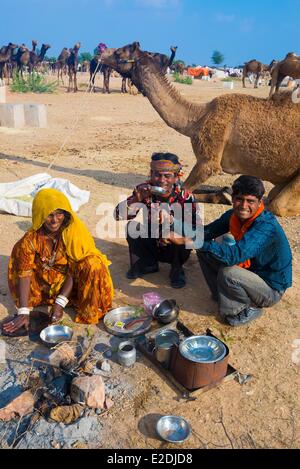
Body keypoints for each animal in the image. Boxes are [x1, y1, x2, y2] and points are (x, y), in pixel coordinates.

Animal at [101, 41, 300, 217]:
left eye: (119, 52)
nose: (100, 53)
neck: (197, 118)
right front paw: (224, 193)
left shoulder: (209, 158)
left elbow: (185, 189)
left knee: (277, 204)